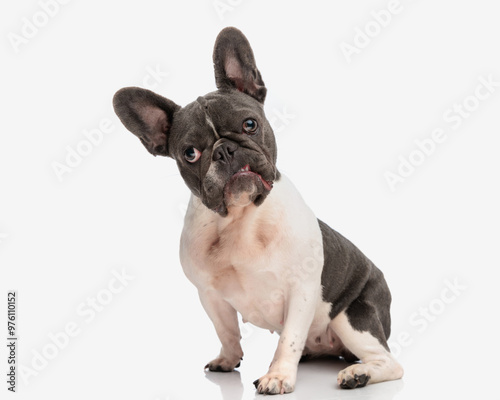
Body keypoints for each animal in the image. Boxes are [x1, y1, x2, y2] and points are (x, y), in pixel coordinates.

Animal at [112, 27, 402, 394]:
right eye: (190, 153)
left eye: (249, 124)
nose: (224, 150)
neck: (240, 219)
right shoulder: (210, 295)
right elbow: (226, 330)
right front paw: (228, 358)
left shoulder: (301, 291)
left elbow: (288, 339)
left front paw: (277, 376)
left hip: (352, 317)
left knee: (389, 361)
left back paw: (358, 373)